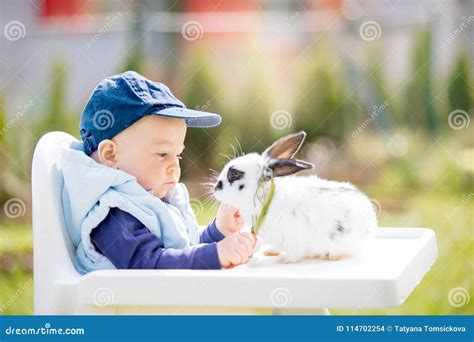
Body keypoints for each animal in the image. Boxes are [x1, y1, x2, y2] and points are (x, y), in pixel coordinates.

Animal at [215, 131, 378, 262]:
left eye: (234, 174)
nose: (216, 188)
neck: (266, 198)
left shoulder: (295, 238)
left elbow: (295, 253)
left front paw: (285, 260)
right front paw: (271, 252)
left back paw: (331, 256)